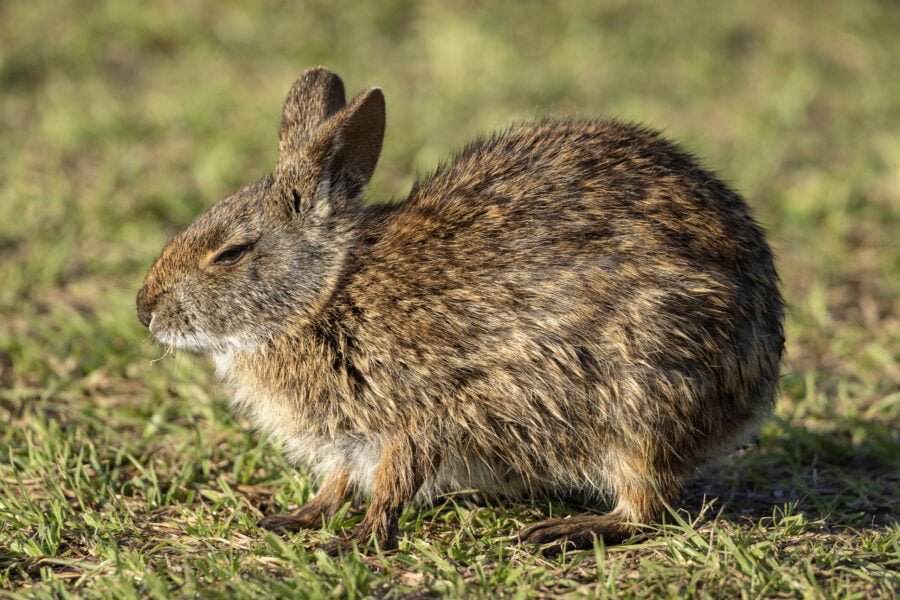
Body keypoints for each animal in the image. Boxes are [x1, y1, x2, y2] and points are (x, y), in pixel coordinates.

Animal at [137, 67, 784, 552]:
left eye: (231, 253)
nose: (145, 310)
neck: (325, 290)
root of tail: (758, 380)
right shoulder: (349, 440)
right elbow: (338, 482)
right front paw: (296, 517)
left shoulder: (418, 414)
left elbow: (393, 484)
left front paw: (358, 541)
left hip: (640, 402)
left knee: (647, 505)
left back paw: (563, 530)